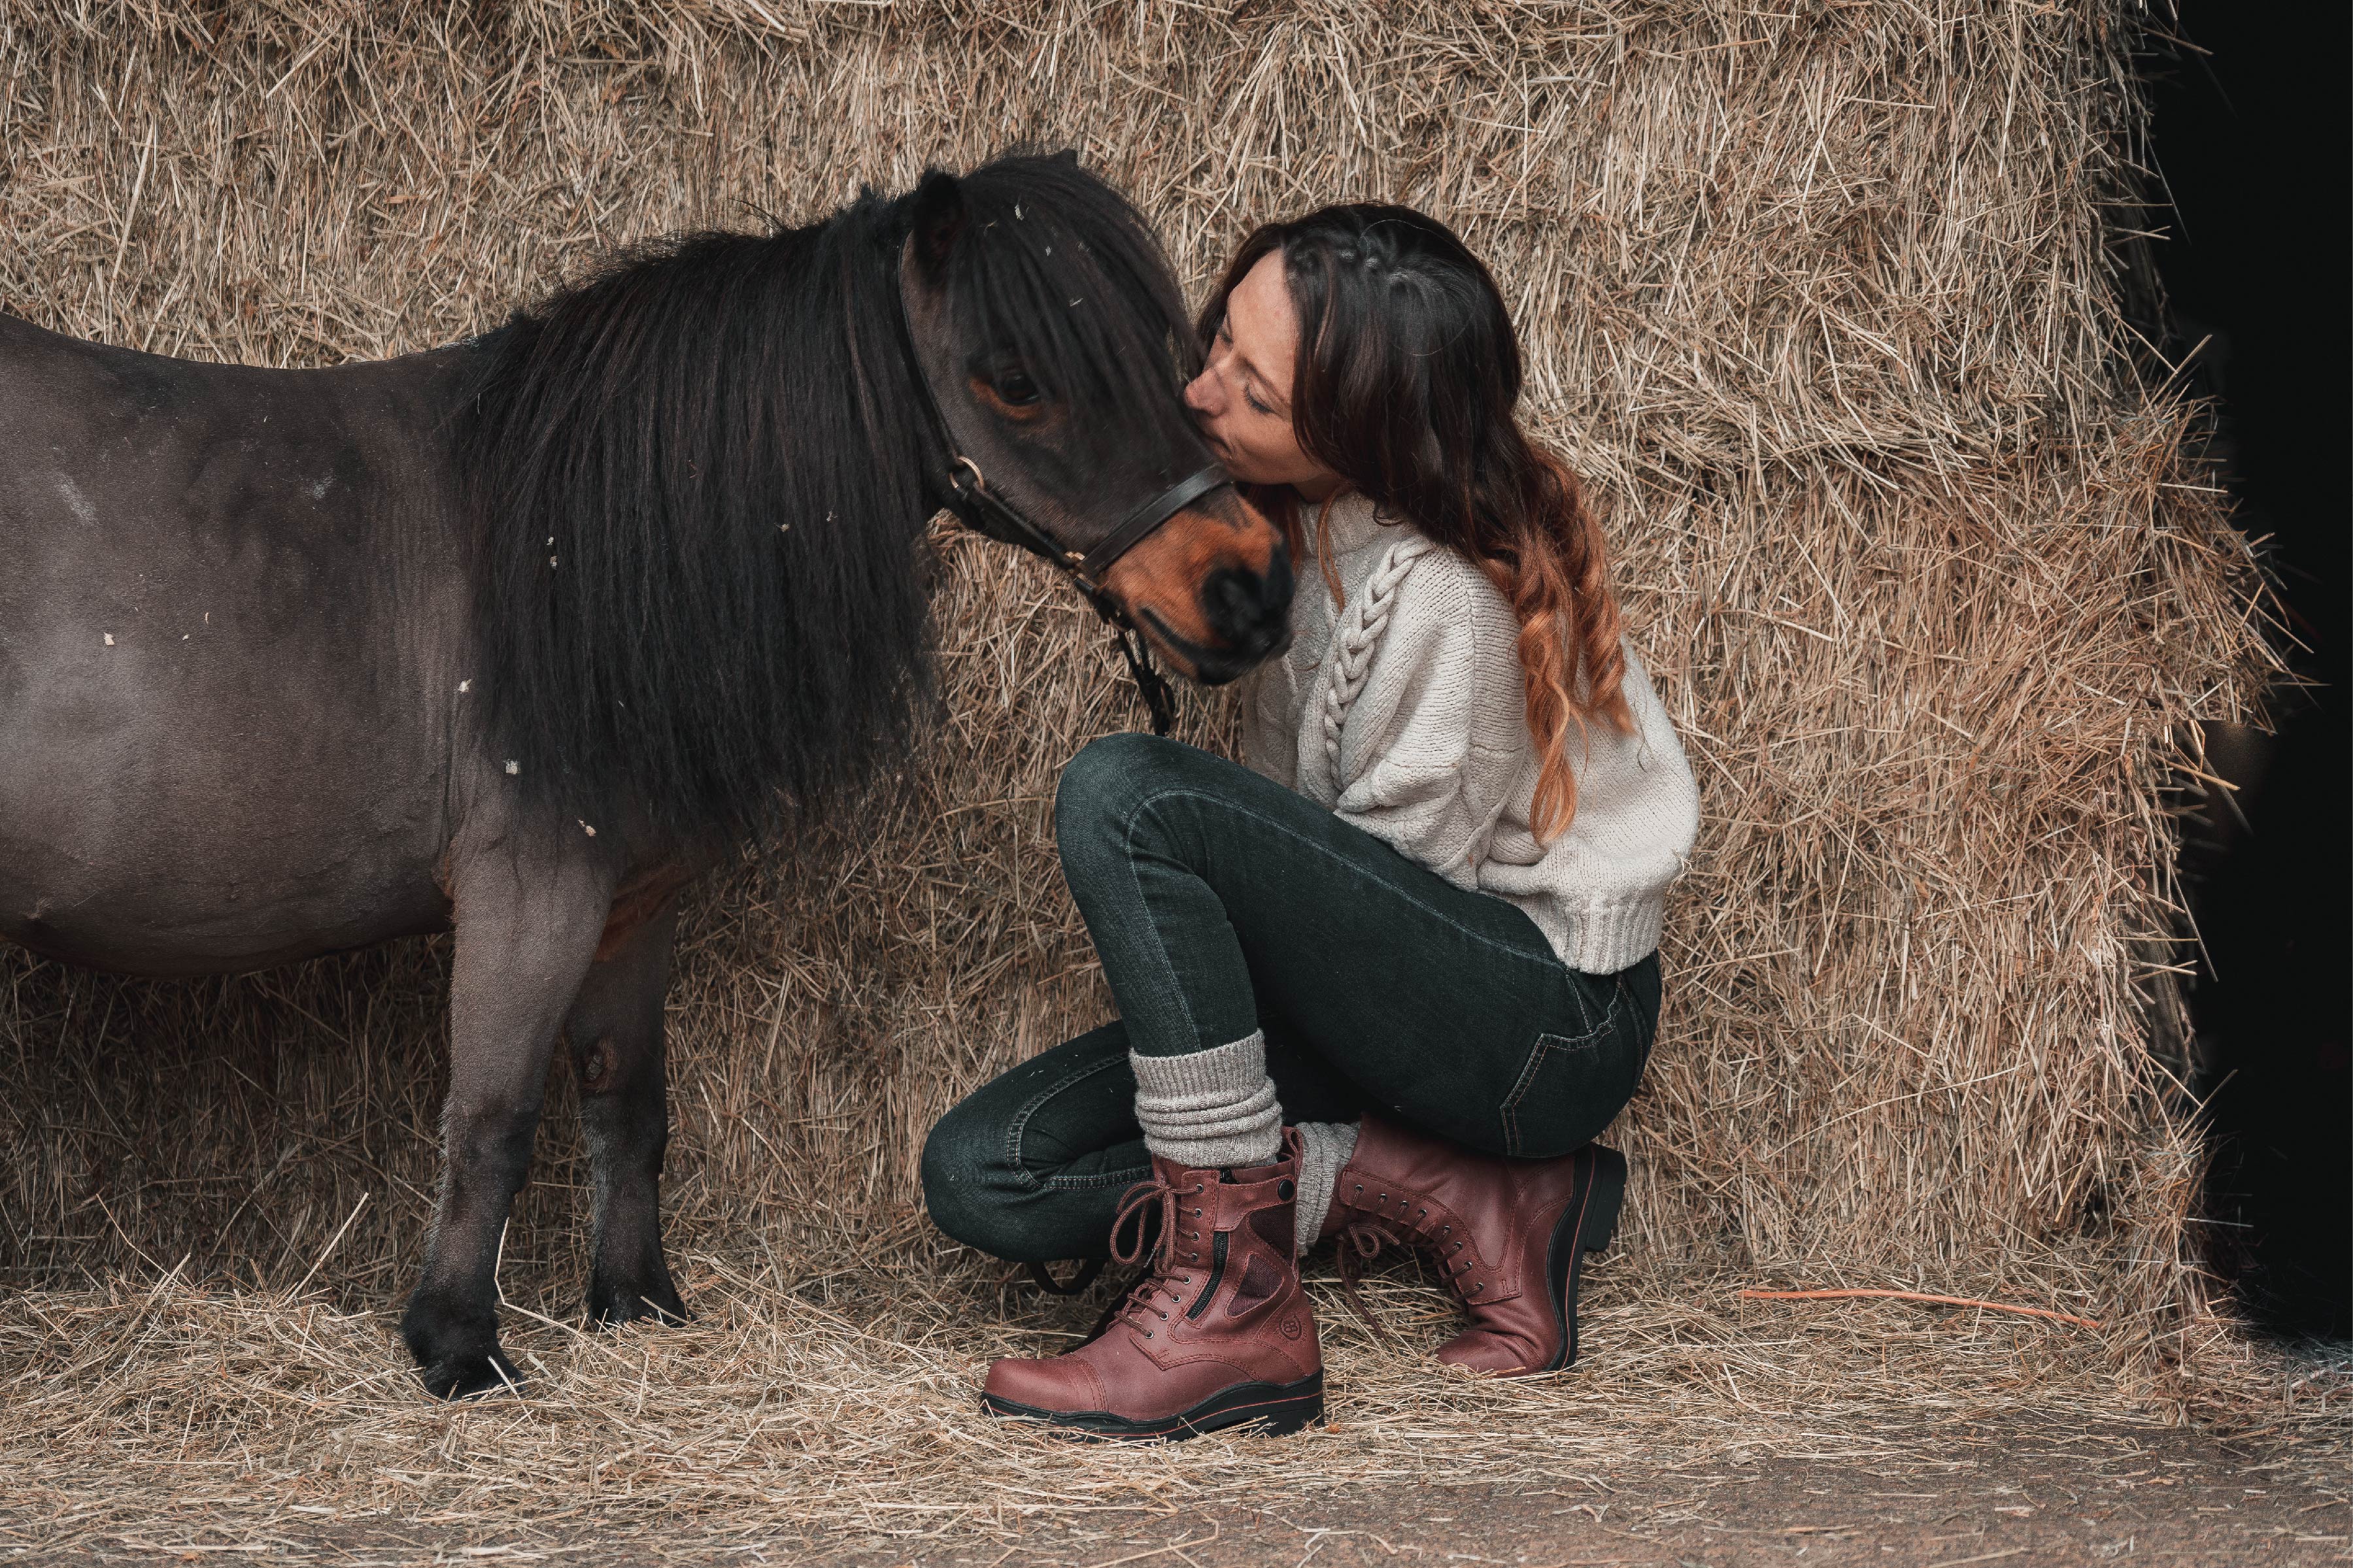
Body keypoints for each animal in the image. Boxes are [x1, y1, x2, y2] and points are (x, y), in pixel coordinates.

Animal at [0, 150, 1298, 1401]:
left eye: (1177, 366)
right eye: (1015, 378)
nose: (1248, 588)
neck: (565, 554)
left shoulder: (631, 905)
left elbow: (630, 1103)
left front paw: (637, 1299)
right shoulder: (531, 890)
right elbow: (494, 1119)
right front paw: (457, 1342)